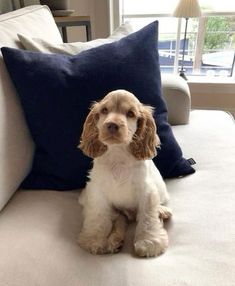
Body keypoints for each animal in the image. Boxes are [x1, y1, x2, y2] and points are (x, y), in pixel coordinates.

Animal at [78, 89, 172, 256]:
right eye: (104, 110)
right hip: (116, 210)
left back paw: (162, 211)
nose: (112, 125)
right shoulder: (97, 192)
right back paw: (114, 241)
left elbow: (148, 218)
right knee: (119, 220)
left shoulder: (146, 192)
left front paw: (148, 242)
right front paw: (94, 240)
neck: (118, 153)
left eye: (130, 113)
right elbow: (97, 217)